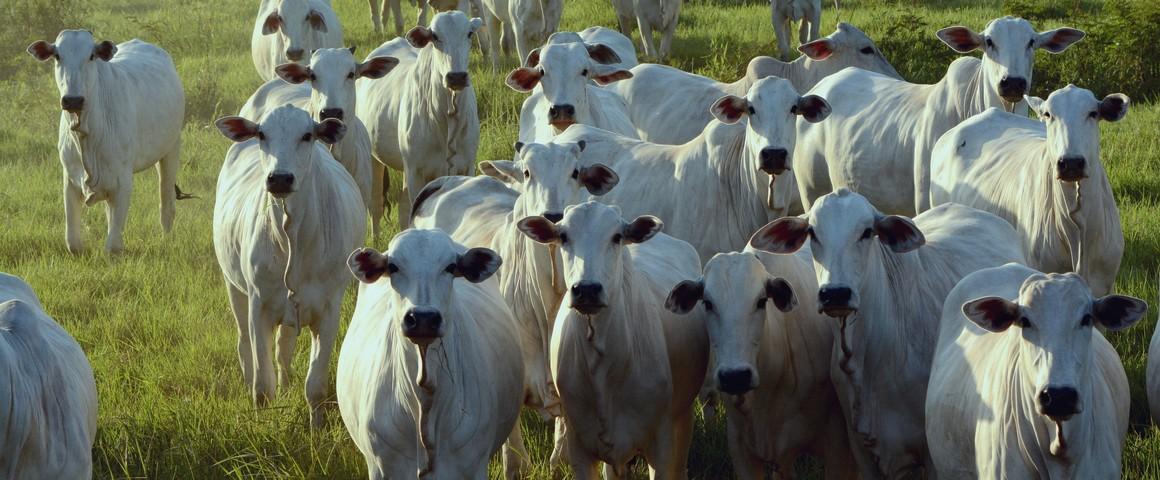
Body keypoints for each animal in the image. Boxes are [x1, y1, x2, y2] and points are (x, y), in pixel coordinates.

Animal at [27, 30, 186, 254]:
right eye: (57, 56)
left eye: (91, 56)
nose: (73, 100)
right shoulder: (70, 180)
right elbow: (73, 243)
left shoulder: (123, 182)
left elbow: (113, 246)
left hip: (171, 149)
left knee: (166, 205)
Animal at [212, 106, 367, 429]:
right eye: (261, 134)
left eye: (307, 135)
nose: (280, 179)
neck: (291, 235)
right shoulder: (259, 305)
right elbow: (262, 386)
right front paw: (261, 425)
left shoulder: (328, 310)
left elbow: (315, 385)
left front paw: (316, 428)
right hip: (234, 287)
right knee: (245, 346)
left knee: (283, 349)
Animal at [357, 11, 482, 227]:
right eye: (435, 36)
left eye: (469, 34)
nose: (456, 77)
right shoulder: (416, 172)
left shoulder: (467, 166)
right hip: (375, 159)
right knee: (376, 206)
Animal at [517, 201, 708, 477]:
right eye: (563, 236)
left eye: (617, 237)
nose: (587, 289)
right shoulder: (580, 447)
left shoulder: (660, 445)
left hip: (682, 418)